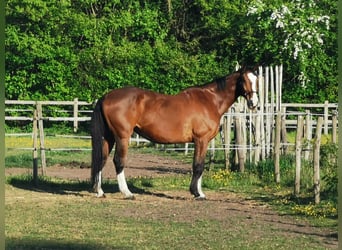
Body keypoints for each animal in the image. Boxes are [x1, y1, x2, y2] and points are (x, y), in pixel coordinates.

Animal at [91, 67, 260, 200]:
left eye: (257, 80)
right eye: (243, 80)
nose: (254, 103)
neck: (210, 100)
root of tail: (106, 96)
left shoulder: (201, 142)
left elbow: (200, 165)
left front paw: (200, 192)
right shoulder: (201, 140)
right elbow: (198, 166)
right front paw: (196, 193)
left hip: (109, 137)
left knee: (101, 159)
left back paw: (100, 191)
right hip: (122, 137)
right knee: (118, 161)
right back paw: (127, 193)